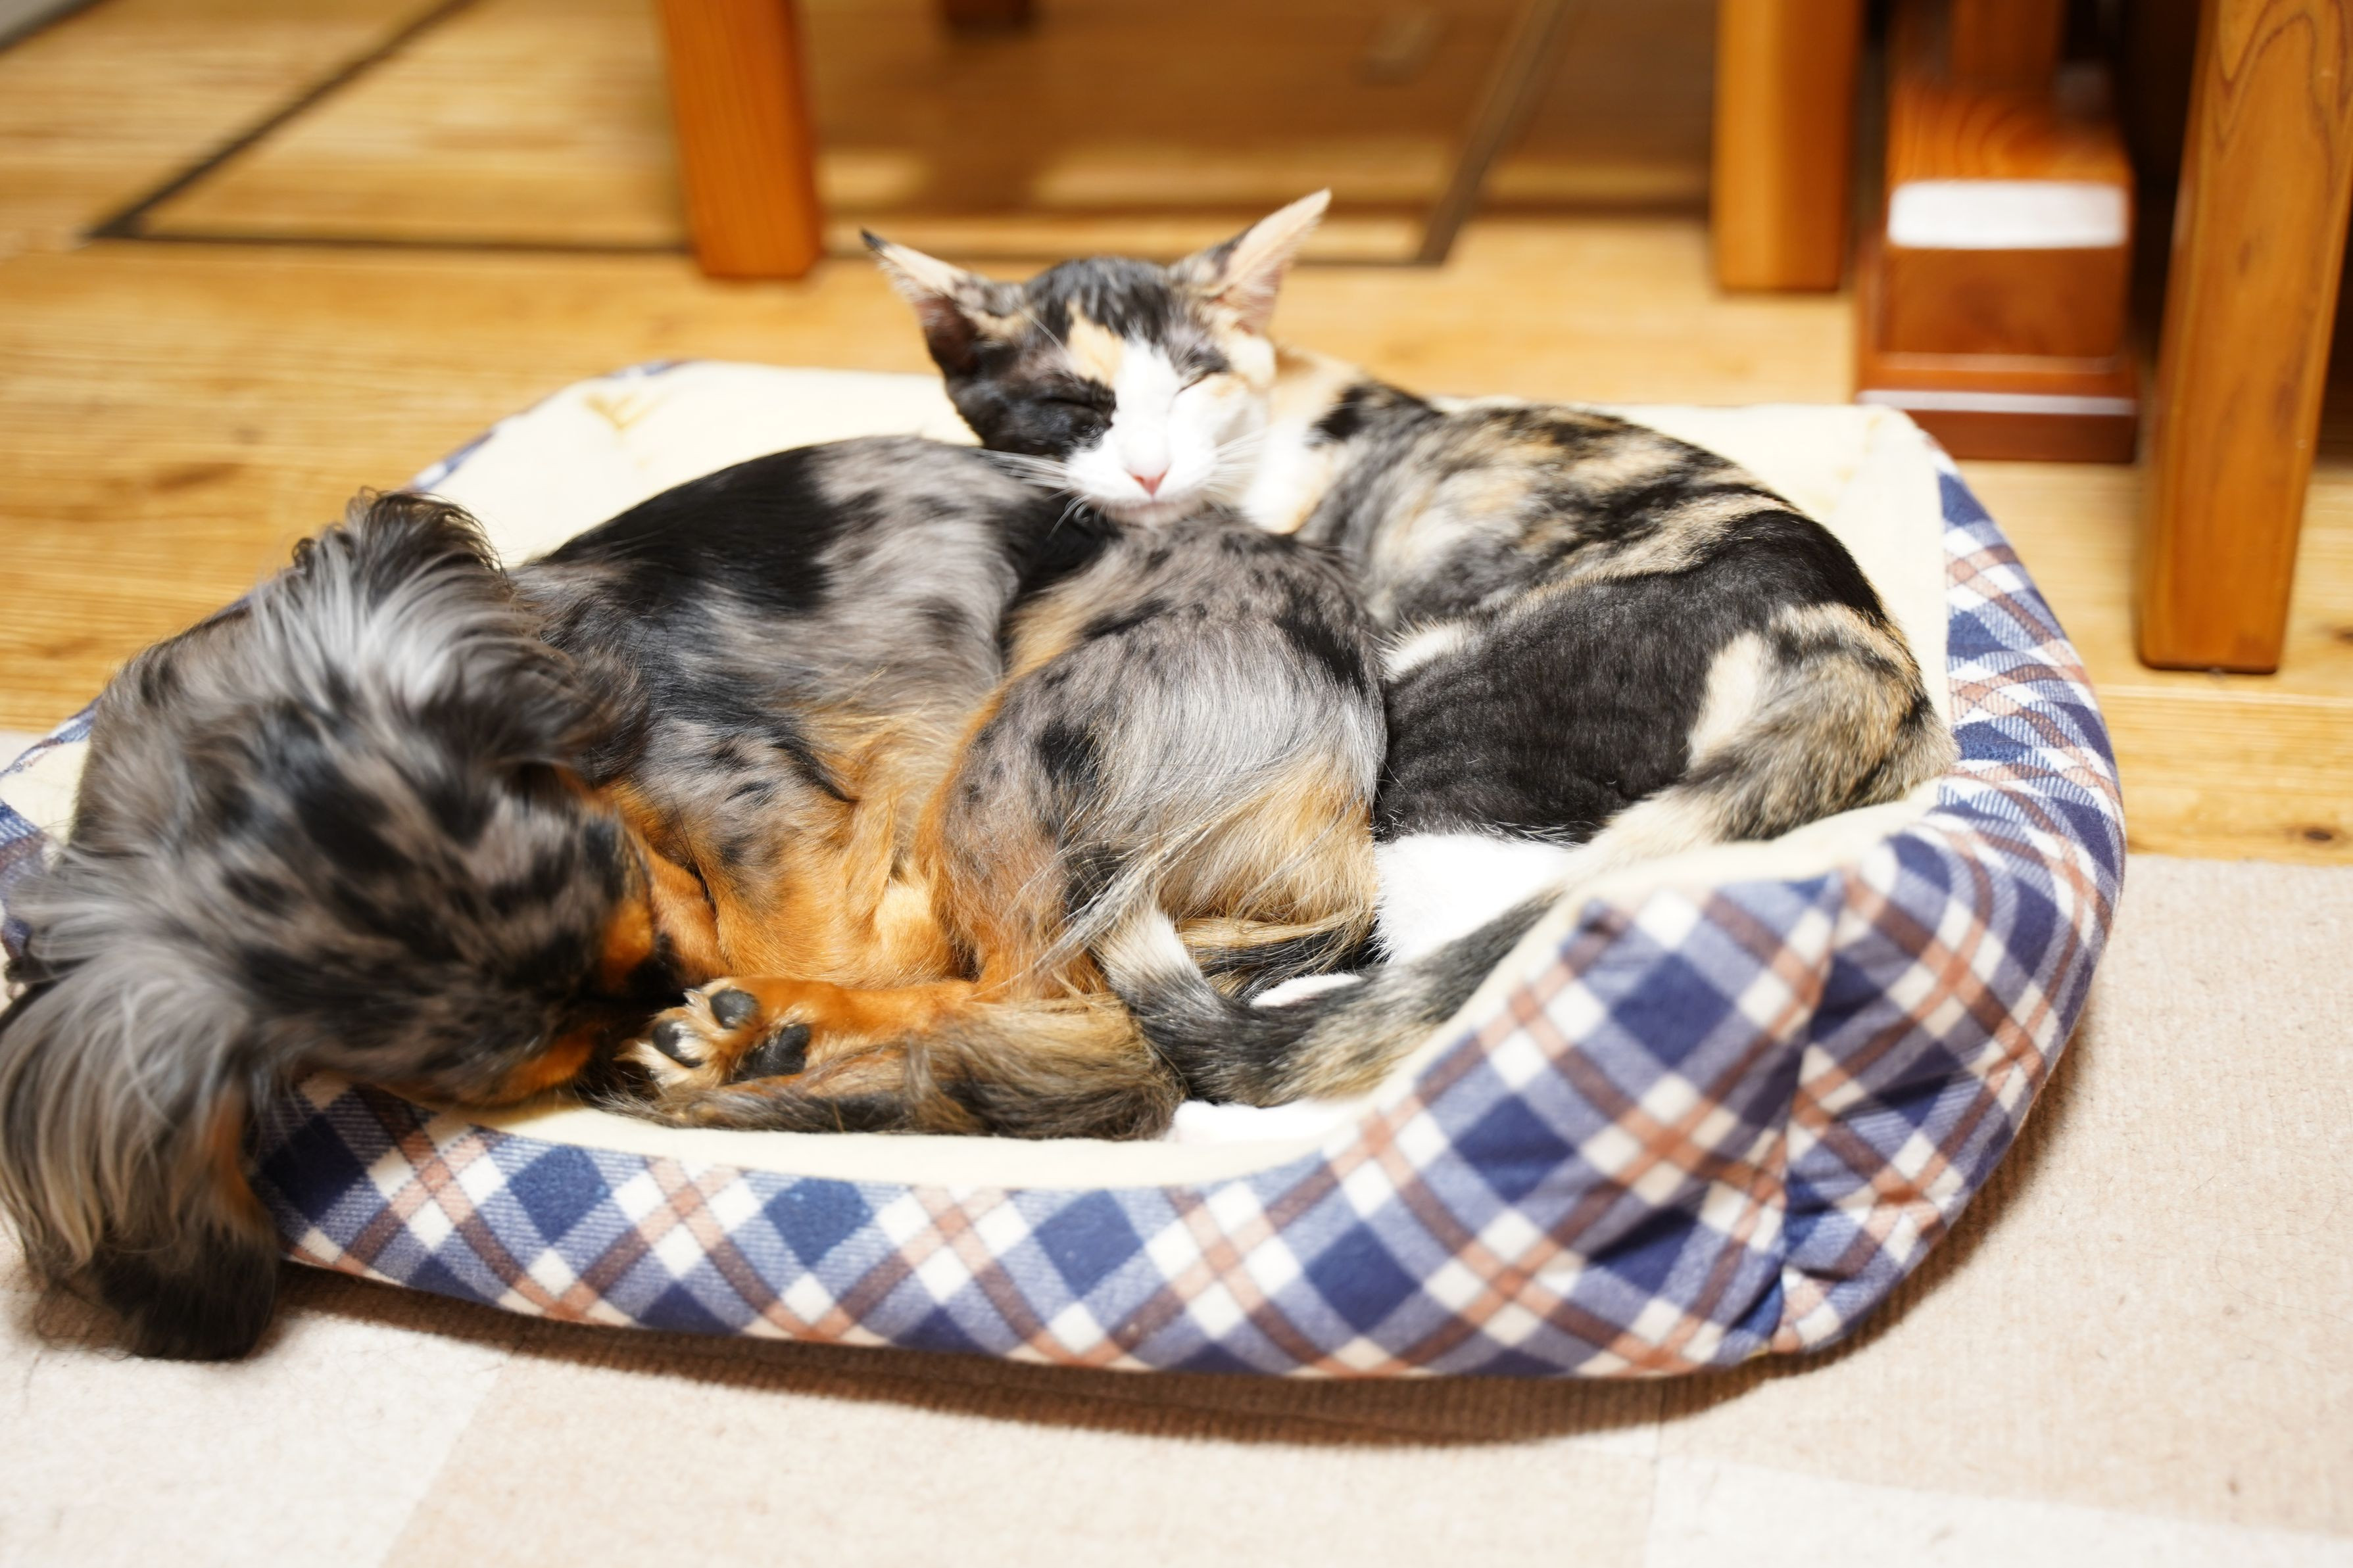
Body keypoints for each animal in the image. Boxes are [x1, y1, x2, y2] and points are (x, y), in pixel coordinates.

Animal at [0, 437, 1382, 1357]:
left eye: (629, 916)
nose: (662, 990)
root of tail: (1345, 781)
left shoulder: (754, 803)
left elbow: (817, 930)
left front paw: (756, 1002)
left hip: (1021, 750)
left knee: (1082, 1032)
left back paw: (776, 1042)